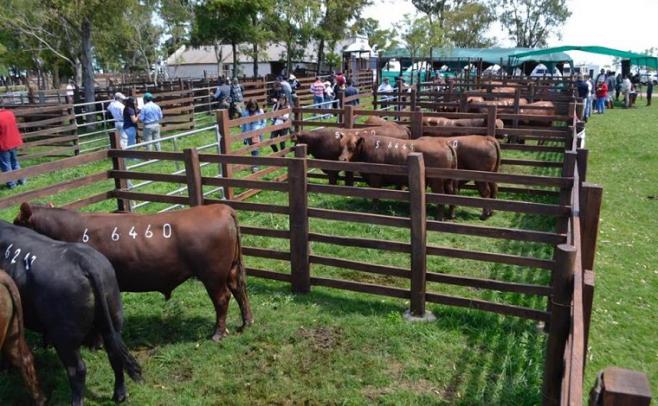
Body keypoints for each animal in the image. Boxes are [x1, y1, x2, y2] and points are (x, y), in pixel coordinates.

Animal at [16, 205, 251, 340]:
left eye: (18, 221)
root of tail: (222, 209)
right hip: (230, 268)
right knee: (239, 290)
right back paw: (246, 323)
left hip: (212, 273)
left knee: (222, 298)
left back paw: (218, 333)